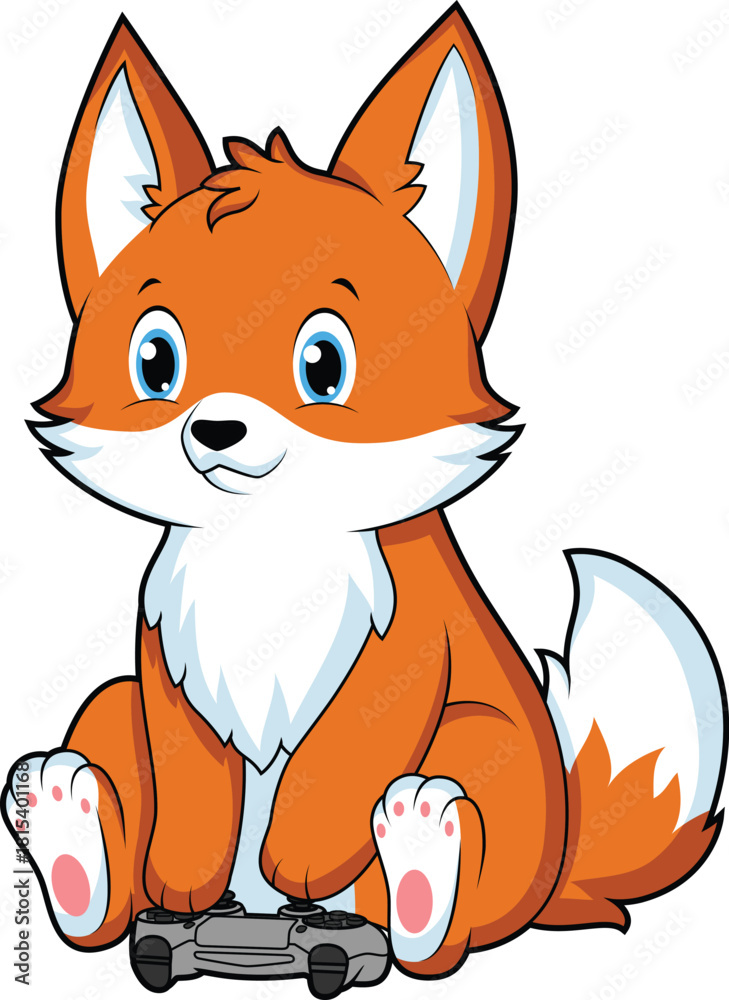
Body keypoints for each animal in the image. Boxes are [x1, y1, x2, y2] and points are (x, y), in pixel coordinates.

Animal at [3, 3, 727, 987]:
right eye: (156, 361)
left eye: (324, 364)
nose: (214, 432)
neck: (267, 550)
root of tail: (557, 874)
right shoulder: (167, 668)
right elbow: (189, 805)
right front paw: (181, 892)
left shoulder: (404, 648)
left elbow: (338, 767)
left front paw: (307, 869)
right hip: (111, 708)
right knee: (111, 827)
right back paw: (74, 839)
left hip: (486, 745)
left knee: (423, 923)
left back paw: (416, 868)